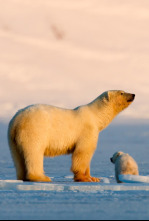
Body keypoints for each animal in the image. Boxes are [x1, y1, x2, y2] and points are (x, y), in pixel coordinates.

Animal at [8, 90, 136, 182]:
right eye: (121, 92)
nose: (133, 94)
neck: (95, 116)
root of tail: (17, 120)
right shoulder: (87, 130)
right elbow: (83, 152)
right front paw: (83, 178)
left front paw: (94, 178)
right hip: (34, 130)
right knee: (34, 152)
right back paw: (41, 177)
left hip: (12, 137)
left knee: (17, 157)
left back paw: (22, 177)